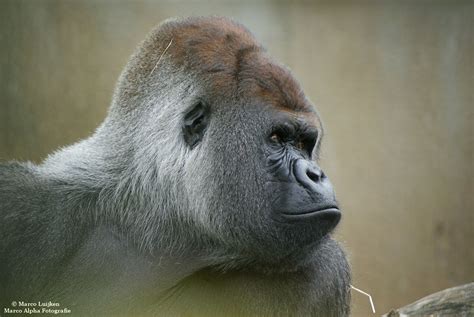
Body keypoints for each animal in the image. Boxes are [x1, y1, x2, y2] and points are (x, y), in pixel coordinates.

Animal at [0, 16, 348, 314]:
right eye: (277, 138)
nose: (315, 174)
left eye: (304, 144)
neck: (158, 216)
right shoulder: (20, 202)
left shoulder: (325, 272)